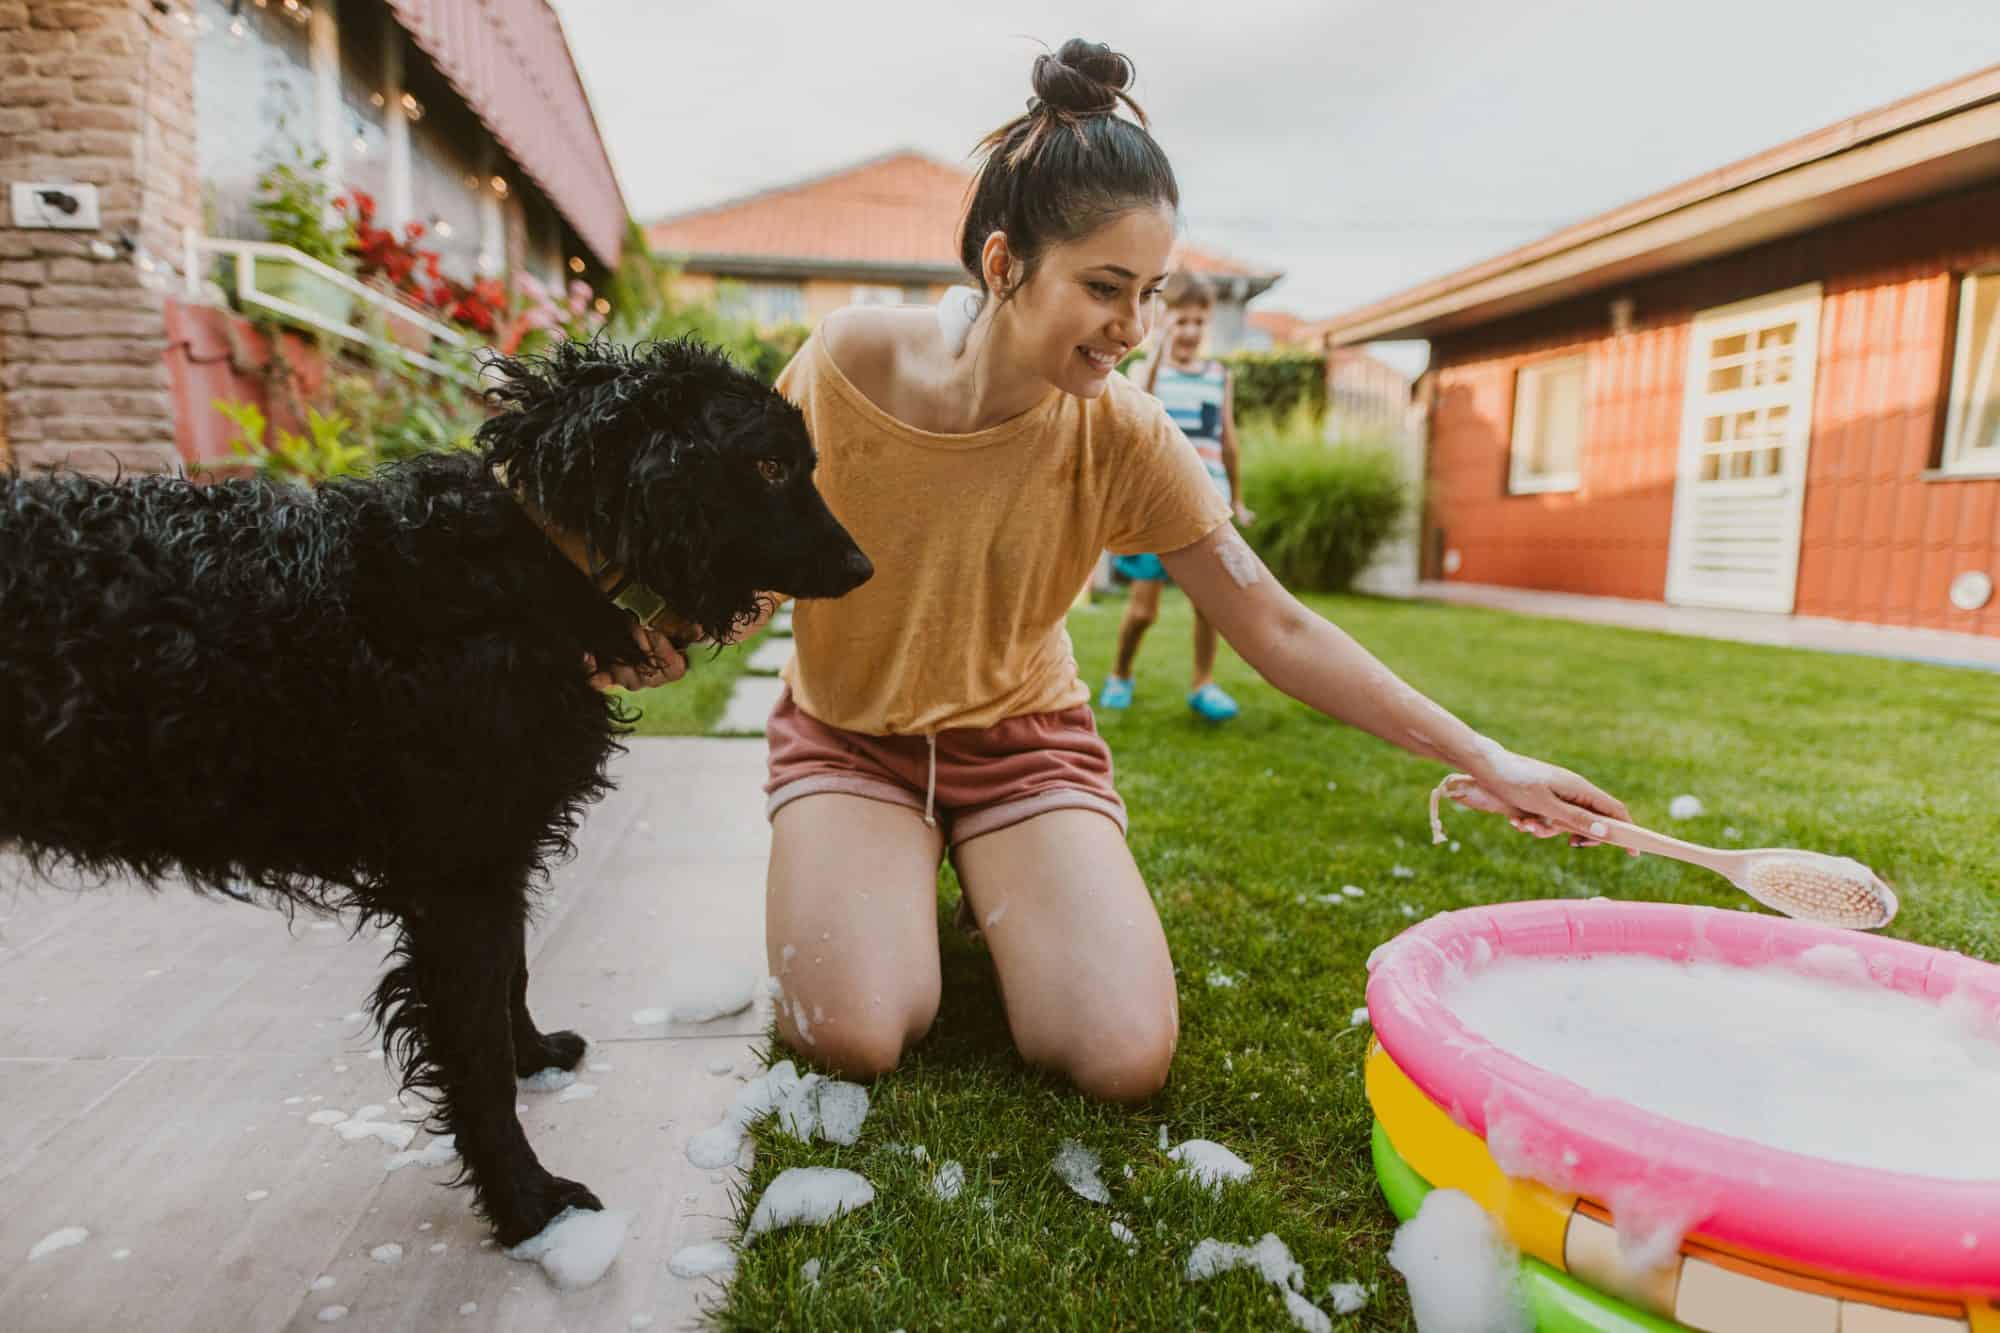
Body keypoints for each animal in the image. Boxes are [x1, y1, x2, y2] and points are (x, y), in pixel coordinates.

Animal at [1, 338, 876, 1240]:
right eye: (769, 465)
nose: (862, 566)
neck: (524, 566)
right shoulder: (459, 870)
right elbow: (474, 1048)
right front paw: (526, 1199)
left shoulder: (498, 844)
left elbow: (508, 978)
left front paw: (534, 1056)